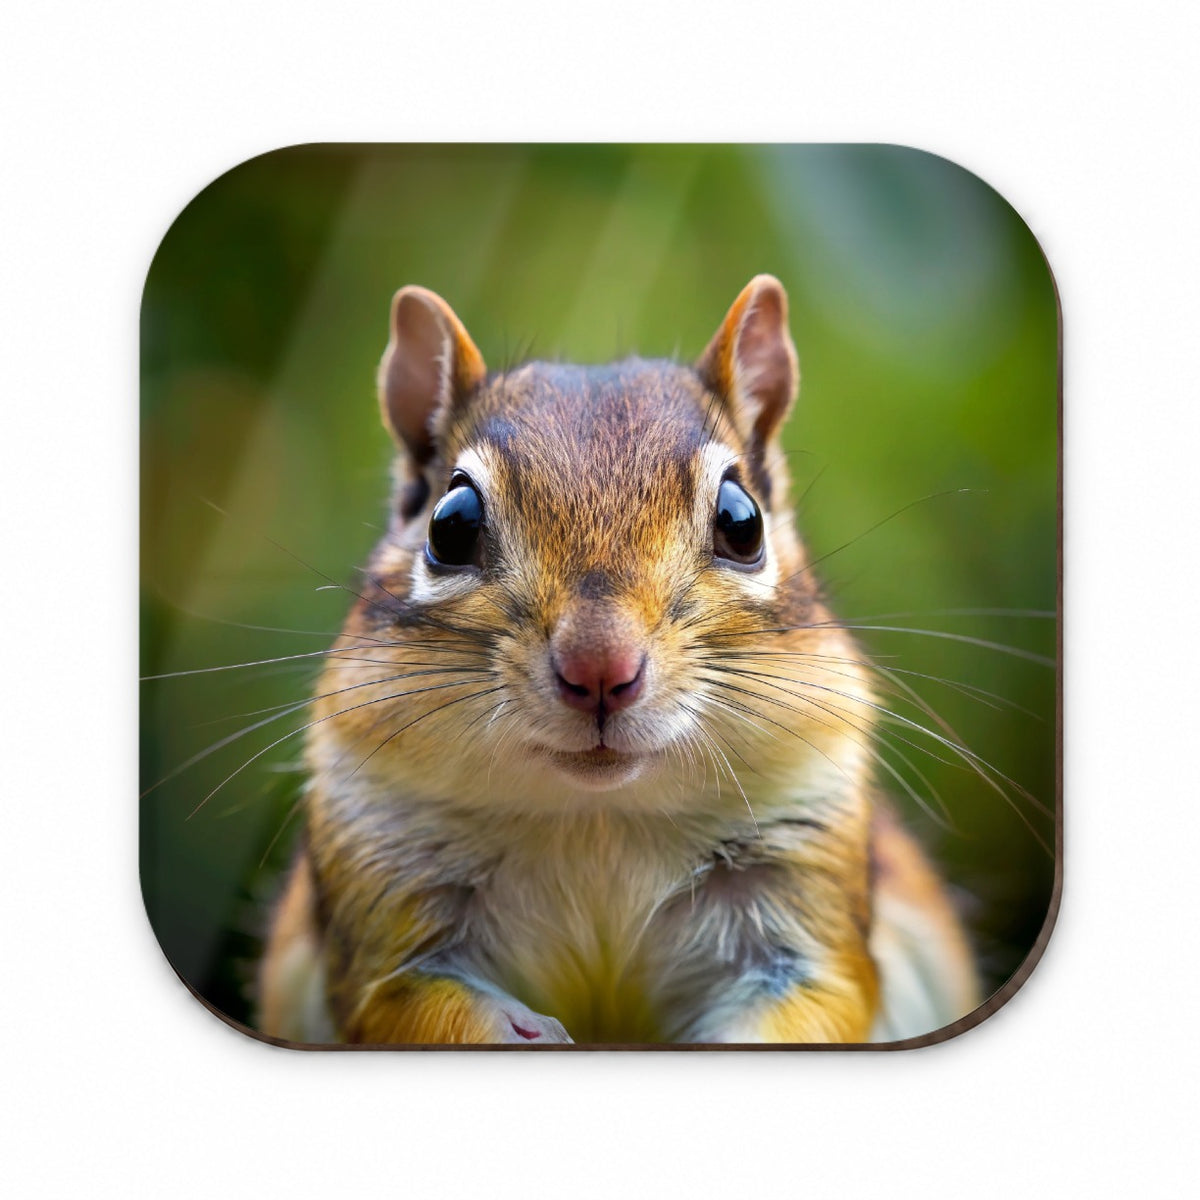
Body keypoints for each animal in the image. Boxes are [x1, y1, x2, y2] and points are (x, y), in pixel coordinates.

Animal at [257, 276, 981, 1045]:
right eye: (449, 526)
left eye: (742, 521)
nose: (599, 668)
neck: (596, 819)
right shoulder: (381, 887)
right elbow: (405, 1003)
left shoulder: (804, 882)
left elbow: (820, 1002)